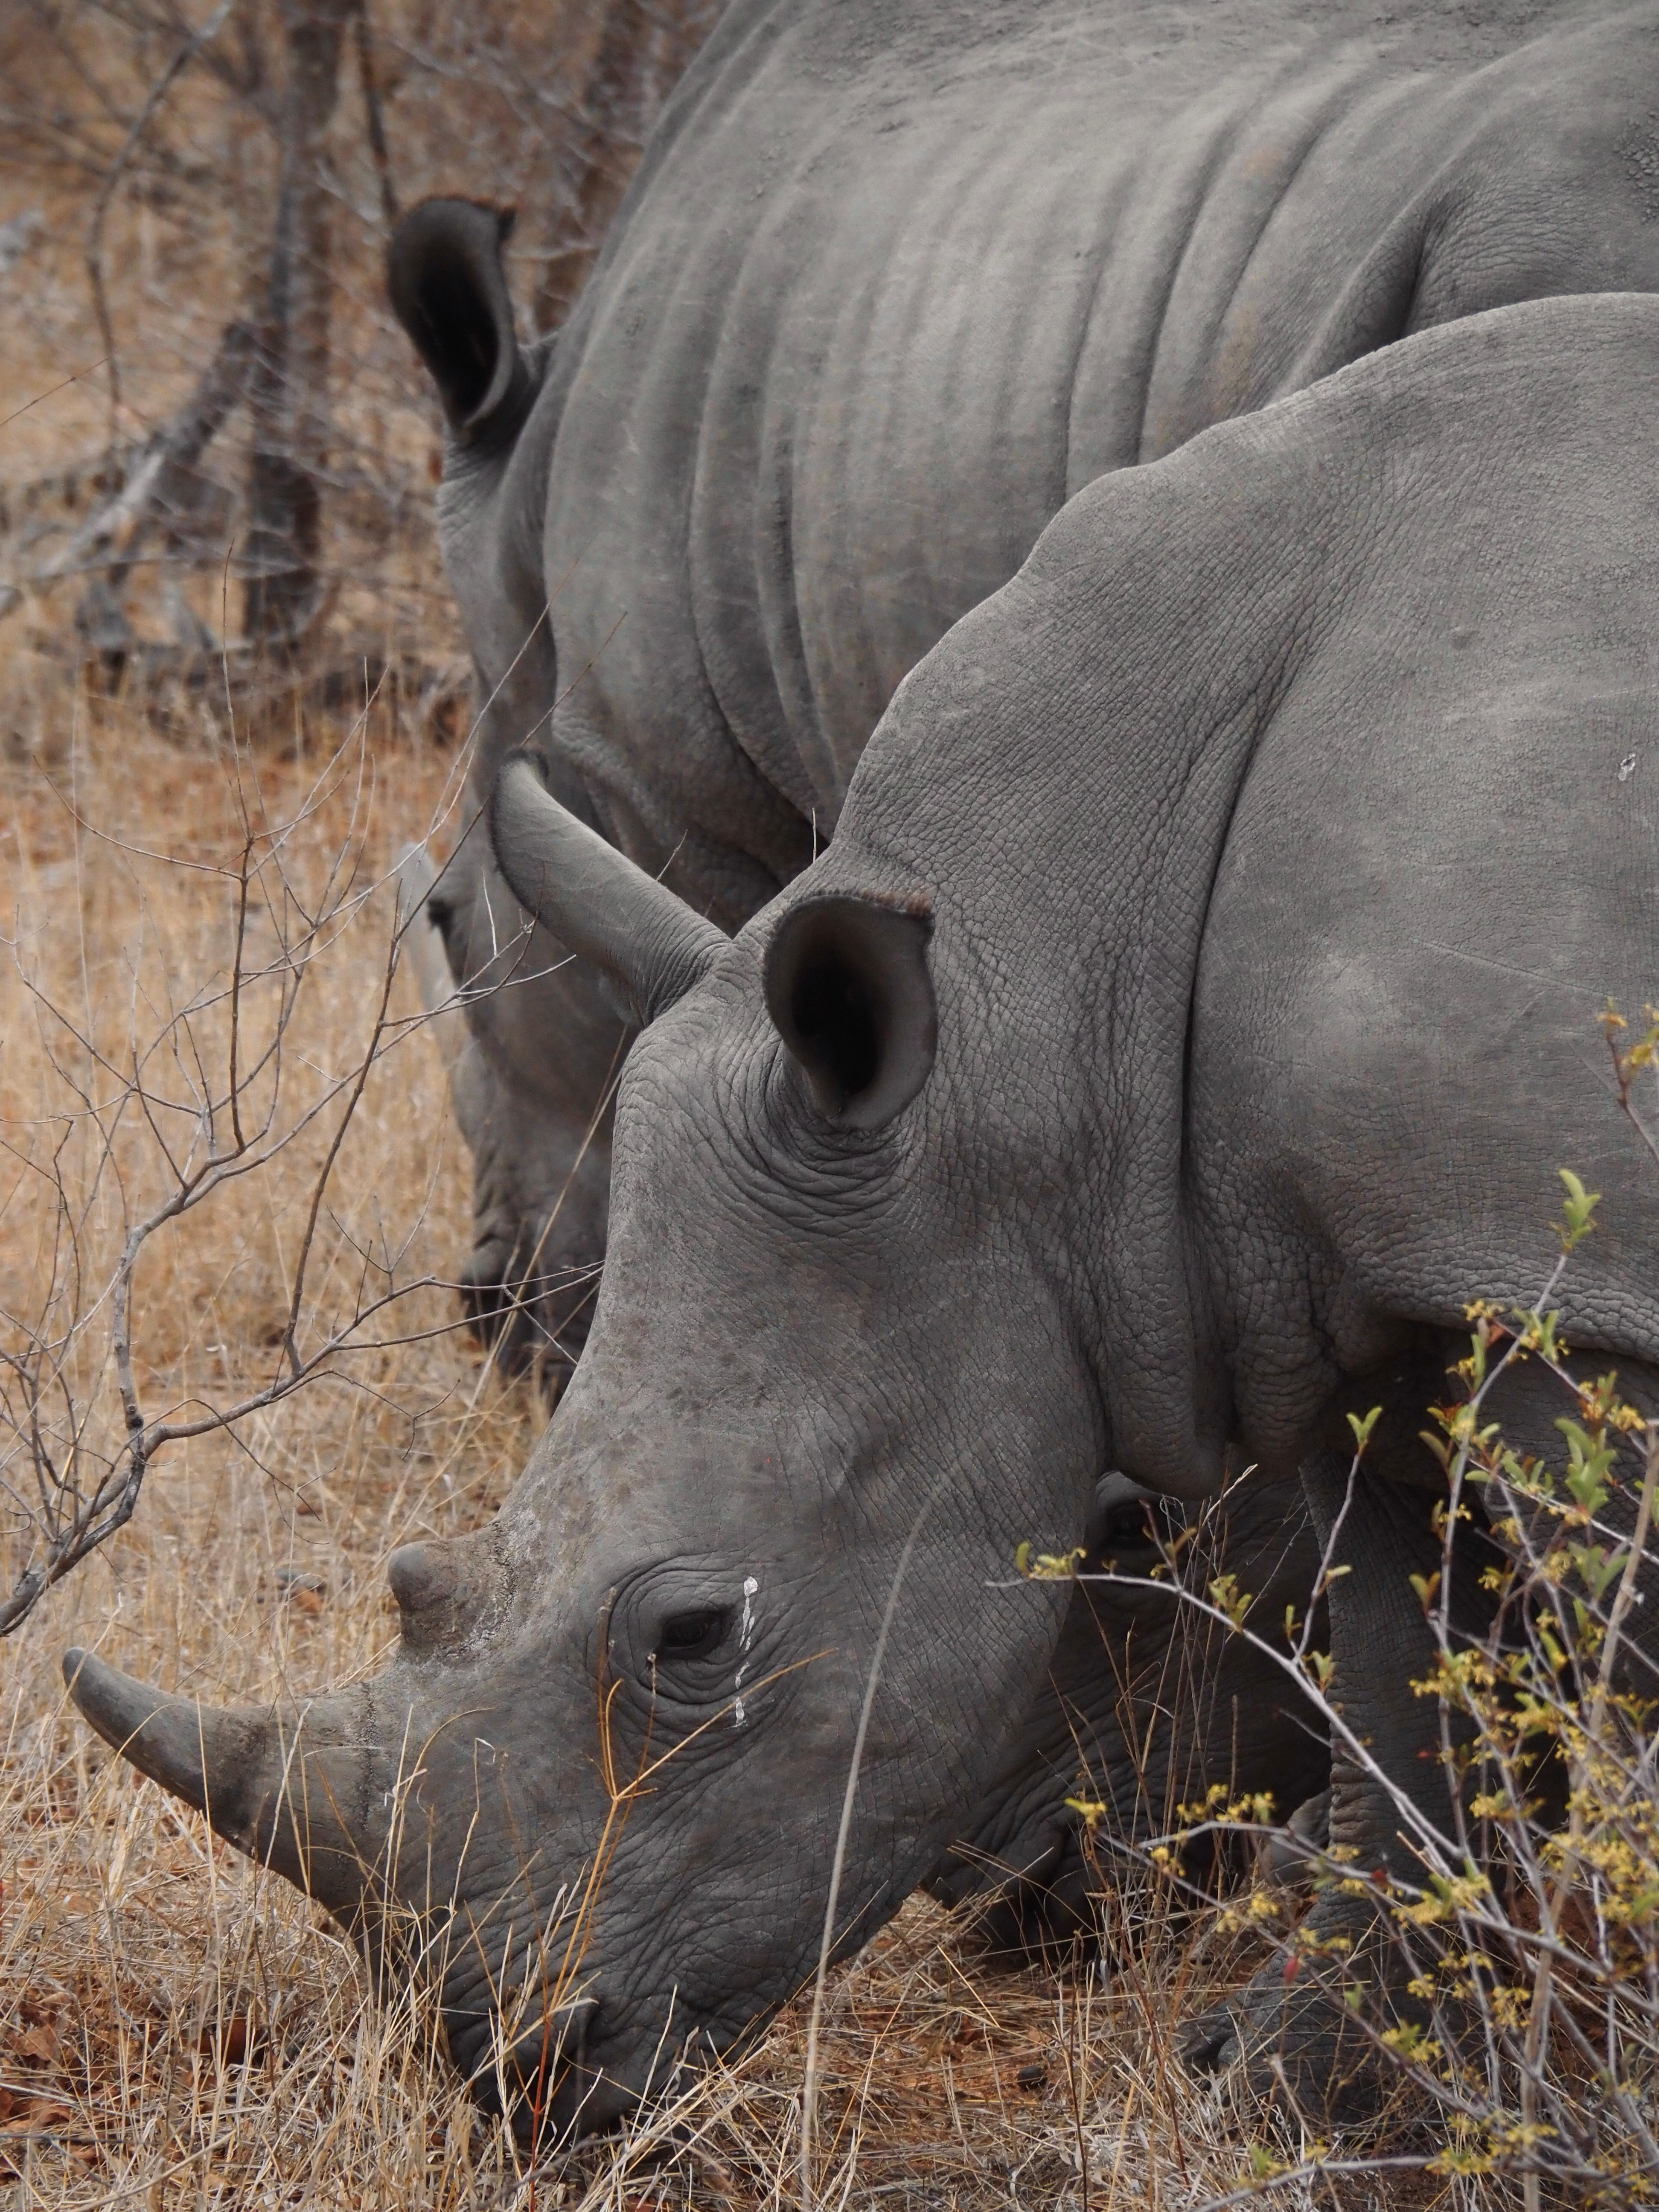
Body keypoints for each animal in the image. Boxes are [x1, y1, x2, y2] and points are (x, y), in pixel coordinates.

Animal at [68, 289, 1659, 2126]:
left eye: (694, 1635)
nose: (516, 2066)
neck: (1039, 1008)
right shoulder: (1376, 1282)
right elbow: (1420, 1689)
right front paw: (1306, 2107)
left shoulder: (1568, 1274)